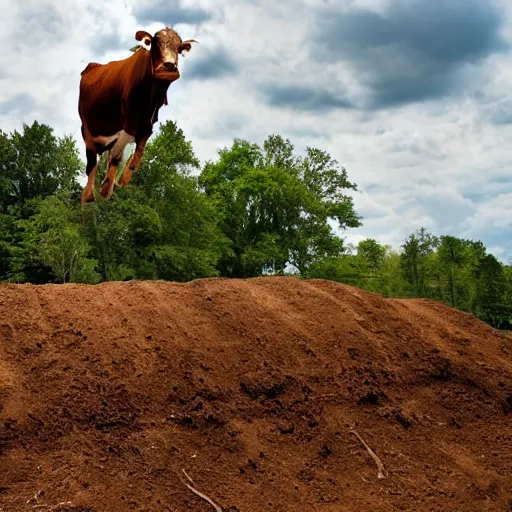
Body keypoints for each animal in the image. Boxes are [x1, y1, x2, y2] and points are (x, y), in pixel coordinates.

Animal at [78, 26, 198, 202]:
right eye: (155, 43)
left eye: (178, 48)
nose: (169, 65)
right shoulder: (126, 125)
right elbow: (116, 155)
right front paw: (106, 187)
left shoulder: (148, 124)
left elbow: (135, 154)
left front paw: (119, 181)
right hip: (87, 129)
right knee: (92, 163)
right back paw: (88, 196)